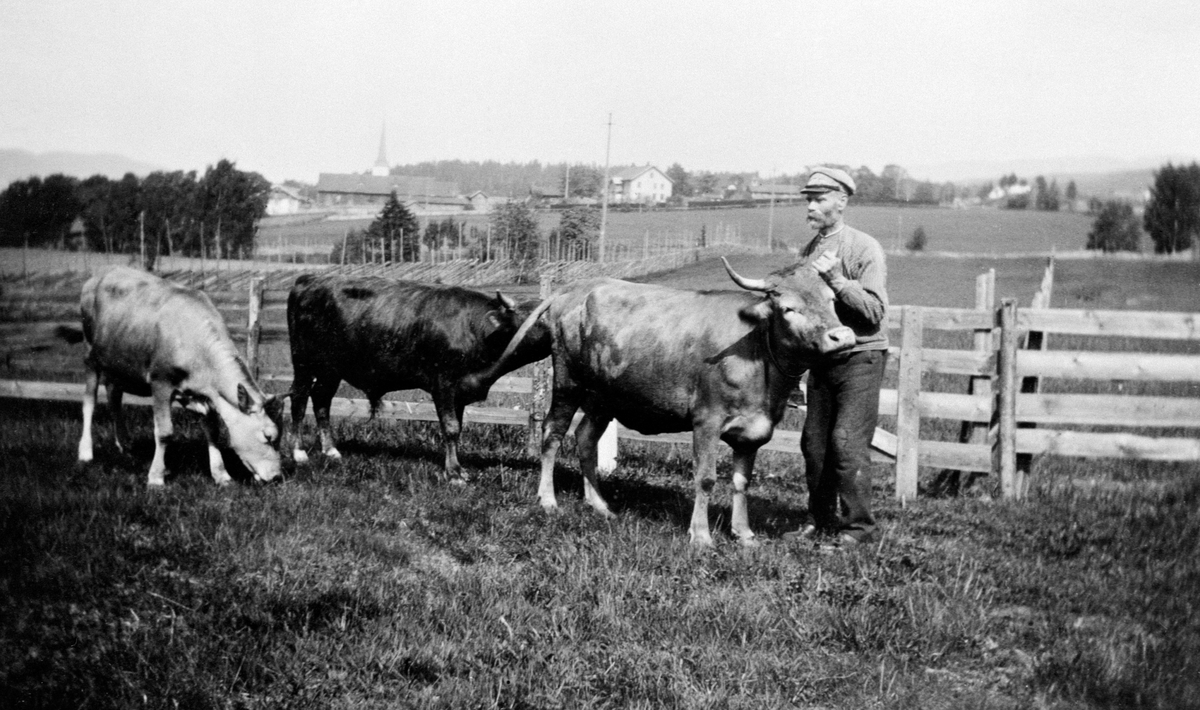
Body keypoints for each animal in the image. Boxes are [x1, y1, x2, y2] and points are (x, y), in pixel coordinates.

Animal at [72, 266, 285, 489]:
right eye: (268, 436)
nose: (277, 477)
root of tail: (104, 273)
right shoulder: (161, 382)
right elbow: (164, 432)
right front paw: (156, 477)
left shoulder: (205, 393)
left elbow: (212, 431)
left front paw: (222, 475)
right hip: (90, 354)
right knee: (89, 401)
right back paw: (85, 452)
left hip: (118, 363)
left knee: (114, 398)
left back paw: (124, 444)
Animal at [285, 274, 552, 479]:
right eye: (539, 318)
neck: (475, 329)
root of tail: (309, 279)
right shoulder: (443, 384)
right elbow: (451, 427)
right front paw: (454, 472)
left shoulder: (460, 391)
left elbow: (457, 427)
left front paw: (454, 466)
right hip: (304, 363)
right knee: (299, 400)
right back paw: (299, 453)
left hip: (330, 370)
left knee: (321, 401)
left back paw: (330, 450)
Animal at [482, 256, 859, 549]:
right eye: (788, 308)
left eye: (832, 300)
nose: (842, 336)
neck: (760, 355)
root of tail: (573, 289)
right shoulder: (707, 420)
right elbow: (706, 478)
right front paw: (701, 536)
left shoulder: (752, 431)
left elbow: (741, 482)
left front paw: (744, 533)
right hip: (567, 382)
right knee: (552, 434)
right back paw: (548, 500)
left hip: (603, 396)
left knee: (586, 438)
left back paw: (600, 505)